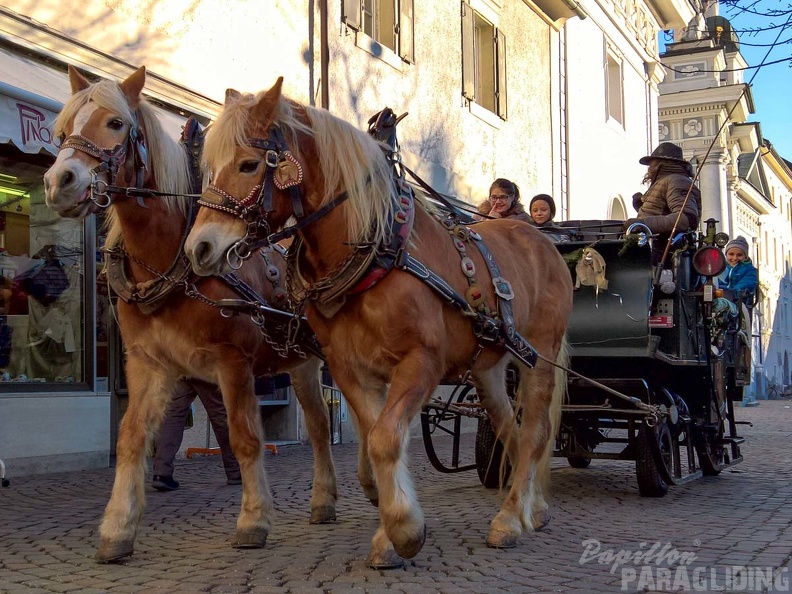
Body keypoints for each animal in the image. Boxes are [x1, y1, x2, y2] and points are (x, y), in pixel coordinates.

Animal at [44, 67, 340, 560]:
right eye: (62, 130)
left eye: (115, 123)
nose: (58, 181)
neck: (170, 262)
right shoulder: (148, 363)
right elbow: (132, 437)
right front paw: (118, 527)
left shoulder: (233, 364)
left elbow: (245, 438)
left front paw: (253, 519)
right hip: (300, 363)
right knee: (320, 427)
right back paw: (327, 499)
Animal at [183, 78, 572, 564]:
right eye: (208, 167)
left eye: (249, 164)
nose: (198, 248)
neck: (376, 251)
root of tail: (542, 240)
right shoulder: (350, 368)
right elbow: (375, 438)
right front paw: (390, 528)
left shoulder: (421, 362)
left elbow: (387, 438)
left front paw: (403, 530)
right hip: (489, 367)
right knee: (511, 433)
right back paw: (530, 509)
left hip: (538, 357)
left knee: (536, 434)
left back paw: (510, 519)